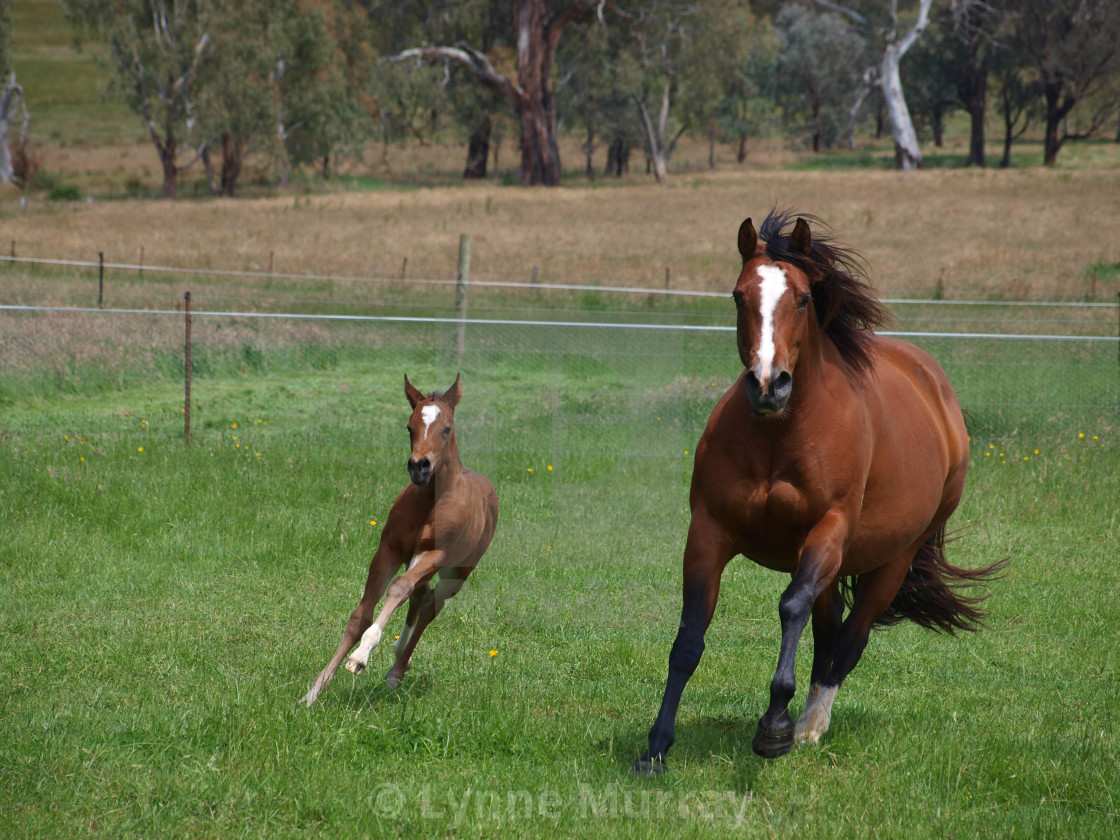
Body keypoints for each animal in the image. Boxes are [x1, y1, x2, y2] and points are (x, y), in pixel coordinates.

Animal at [304, 374, 501, 703]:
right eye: (409, 427)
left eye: (447, 428)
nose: (419, 466)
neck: (430, 502)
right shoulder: (390, 549)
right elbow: (361, 614)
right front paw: (315, 691)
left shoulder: (435, 555)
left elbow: (398, 589)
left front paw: (361, 656)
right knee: (421, 595)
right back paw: (400, 656)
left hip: (457, 572)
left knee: (431, 603)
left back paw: (397, 671)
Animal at [636, 211, 1003, 775]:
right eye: (738, 296)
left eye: (805, 298)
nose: (769, 384)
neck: (779, 435)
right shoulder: (709, 532)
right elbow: (690, 635)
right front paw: (656, 746)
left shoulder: (828, 530)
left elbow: (791, 608)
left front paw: (773, 730)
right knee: (828, 630)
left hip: (892, 558)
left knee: (851, 638)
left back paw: (809, 725)